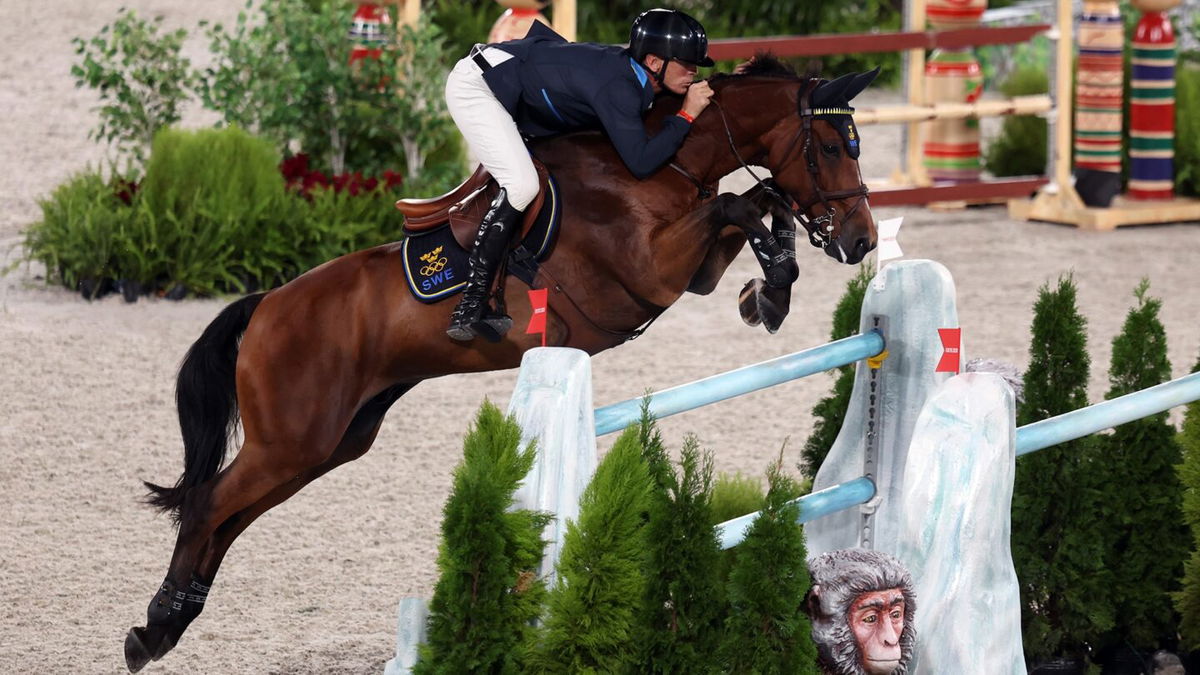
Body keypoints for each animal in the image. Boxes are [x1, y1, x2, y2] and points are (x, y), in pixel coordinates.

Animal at [124, 56, 883, 667]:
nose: (861, 240)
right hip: (293, 439)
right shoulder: (649, 271)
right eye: (828, 145)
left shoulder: (687, 270)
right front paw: (774, 283)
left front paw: (771, 289)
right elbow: (735, 202)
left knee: (228, 515)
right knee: (208, 504)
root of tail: (266, 305)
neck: (655, 158)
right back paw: (151, 628)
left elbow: (757, 199)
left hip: (327, 444)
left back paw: (172, 621)